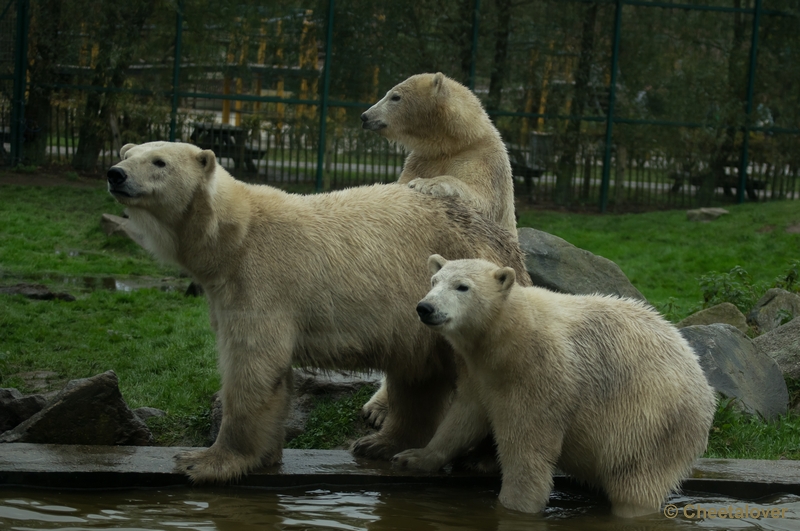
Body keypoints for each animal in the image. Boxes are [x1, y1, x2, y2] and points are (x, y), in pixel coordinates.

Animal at [106, 140, 532, 482]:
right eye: (128, 153)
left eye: (159, 161)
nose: (115, 173)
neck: (233, 235)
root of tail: (505, 244)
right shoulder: (226, 288)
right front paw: (265, 457)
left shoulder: (261, 277)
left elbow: (252, 365)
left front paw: (204, 461)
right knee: (416, 376)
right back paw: (379, 444)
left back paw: (481, 460)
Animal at [360, 71, 516, 428]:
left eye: (395, 96)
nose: (365, 116)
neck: (456, 141)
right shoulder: (420, 160)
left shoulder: (484, 161)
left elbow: (475, 196)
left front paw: (428, 186)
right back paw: (378, 408)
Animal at [396, 256, 716, 516]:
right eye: (434, 281)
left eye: (462, 287)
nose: (426, 307)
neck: (507, 336)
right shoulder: (479, 373)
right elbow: (463, 418)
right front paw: (413, 457)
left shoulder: (538, 375)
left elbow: (528, 447)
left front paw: (514, 507)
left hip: (651, 426)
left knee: (636, 485)